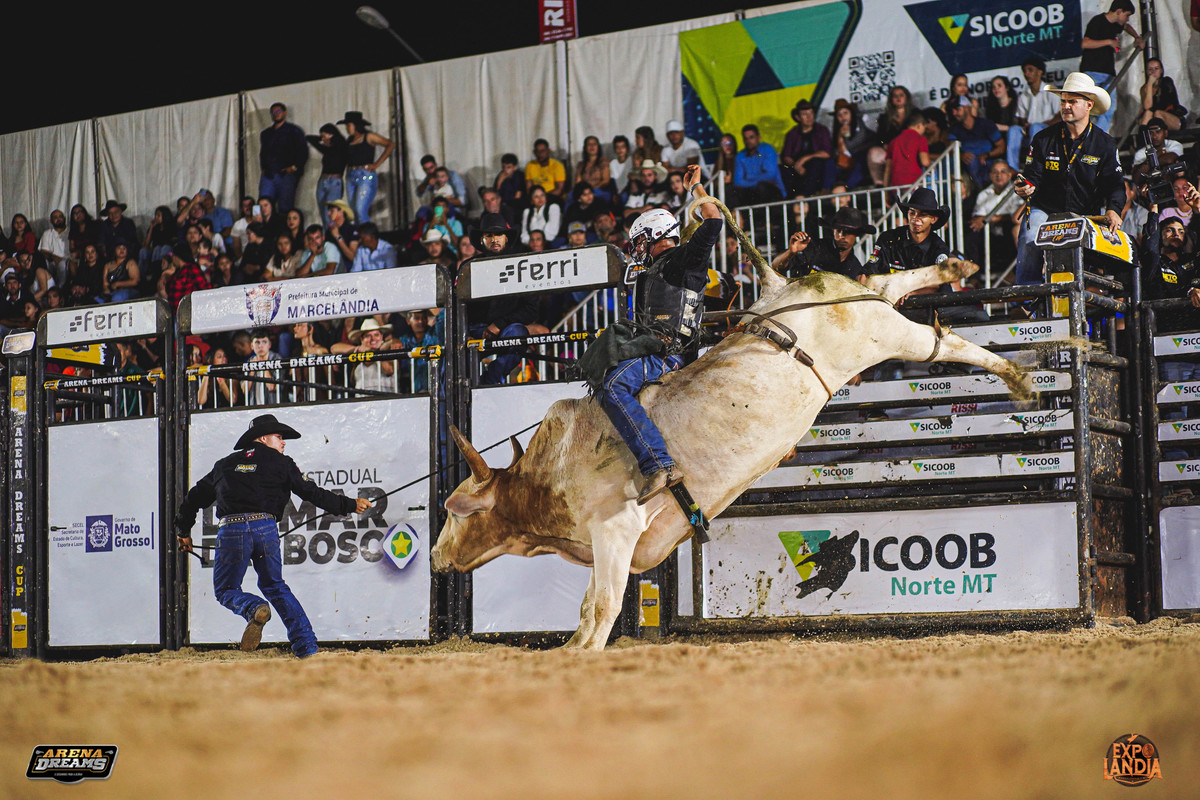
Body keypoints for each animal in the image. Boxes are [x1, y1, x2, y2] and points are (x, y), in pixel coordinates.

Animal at [431, 254, 1031, 651]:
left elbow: (600, 608)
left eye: (453, 513)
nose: (435, 557)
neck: (546, 481)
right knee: (886, 283)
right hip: (874, 313)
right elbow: (588, 607)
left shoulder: (616, 529)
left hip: (882, 337)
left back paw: (1018, 377)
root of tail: (789, 292)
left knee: (943, 343)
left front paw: (582, 654)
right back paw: (954, 270)